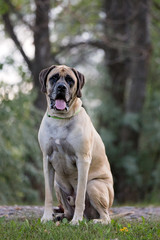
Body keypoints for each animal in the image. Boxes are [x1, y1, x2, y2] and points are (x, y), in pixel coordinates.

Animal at [38, 64, 114, 225]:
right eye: (54, 78)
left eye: (70, 80)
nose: (61, 87)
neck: (60, 119)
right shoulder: (46, 160)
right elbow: (48, 195)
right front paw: (46, 217)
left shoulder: (82, 159)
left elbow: (80, 196)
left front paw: (77, 221)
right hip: (58, 183)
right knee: (67, 210)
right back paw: (59, 216)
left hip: (94, 186)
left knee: (106, 216)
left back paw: (94, 221)